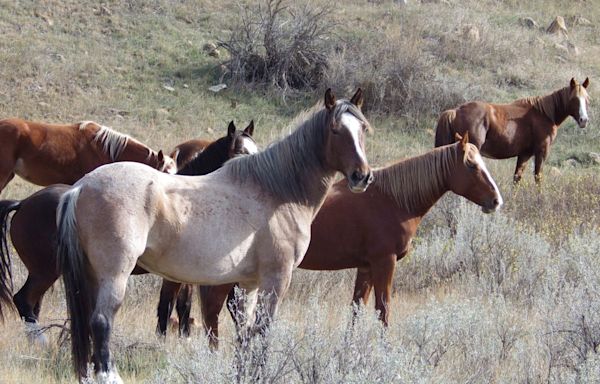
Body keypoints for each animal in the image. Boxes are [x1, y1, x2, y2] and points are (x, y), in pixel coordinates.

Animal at [58, 88, 372, 382]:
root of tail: (81, 187)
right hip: (115, 273)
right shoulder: (276, 278)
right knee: (101, 321)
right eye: (335, 130)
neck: (277, 191)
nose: (362, 176)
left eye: (363, 129)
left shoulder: (249, 283)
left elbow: (245, 333)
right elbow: (263, 331)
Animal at [197, 134, 502, 350]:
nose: (496, 201)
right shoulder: (384, 263)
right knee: (212, 313)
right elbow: (383, 309)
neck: (392, 199)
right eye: (471, 165)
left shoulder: (365, 267)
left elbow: (356, 309)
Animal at [434, 77, 592, 183]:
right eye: (574, 99)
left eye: (587, 99)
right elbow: (538, 177)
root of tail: (455, 111)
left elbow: (517, 178)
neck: (544, 114)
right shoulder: (541, 151)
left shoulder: (524, 154)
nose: (584, 120)